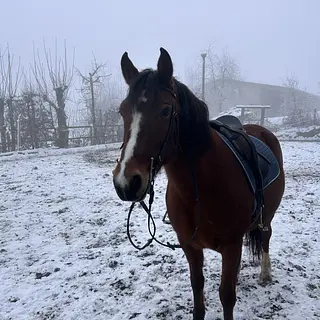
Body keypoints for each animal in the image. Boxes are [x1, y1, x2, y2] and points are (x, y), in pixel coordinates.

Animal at [112, 47, 284, 320]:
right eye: (123, 111)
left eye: (165, 110)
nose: (126, 182)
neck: (199, 189)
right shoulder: (190, 247)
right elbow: (197, 288)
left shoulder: (231, 246)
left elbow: (227, 296)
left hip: (267, 214)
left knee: (266, 236)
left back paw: (265, 274)